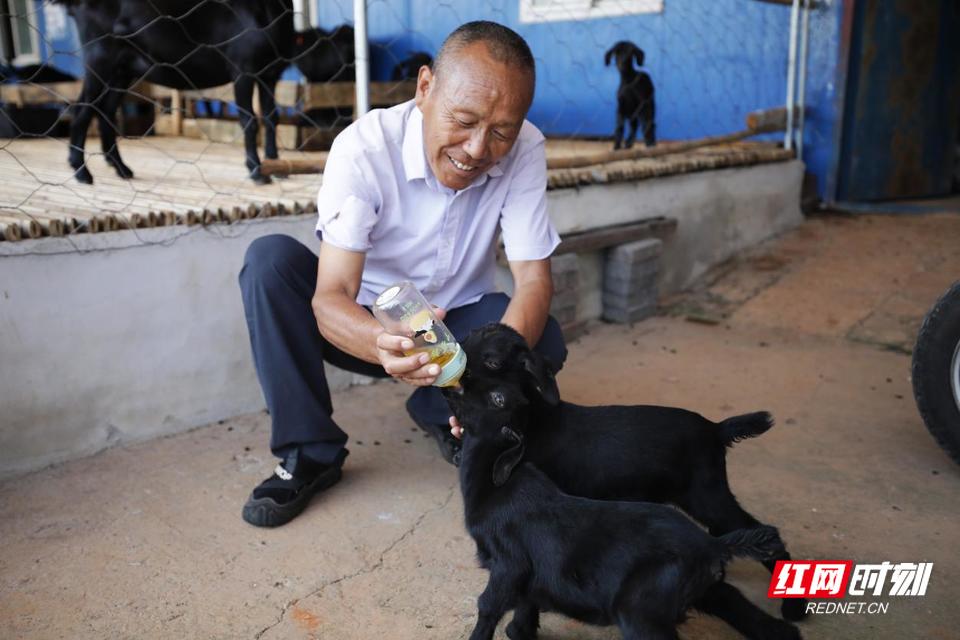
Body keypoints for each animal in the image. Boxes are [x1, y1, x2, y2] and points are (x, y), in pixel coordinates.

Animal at [446, 322, 808, 624]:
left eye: (493, 361)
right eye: (470, 337)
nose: (455, 376)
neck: (534, 418)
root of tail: (716, 430)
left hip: (708, 495)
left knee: (755, 529)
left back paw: (794, 605)